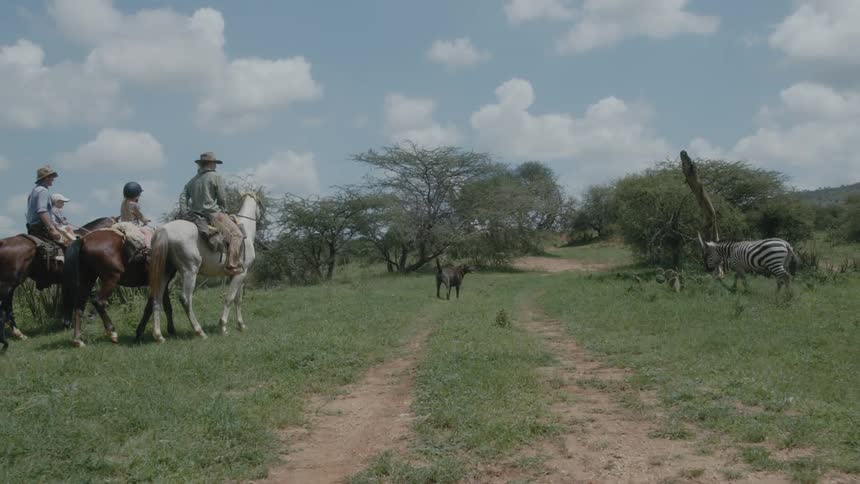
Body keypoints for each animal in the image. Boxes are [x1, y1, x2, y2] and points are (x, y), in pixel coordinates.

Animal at [0, 217, 116, 348]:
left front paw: (68, 323)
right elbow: (89, 296)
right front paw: (90, 316)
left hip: (11, 287)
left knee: (8, 308)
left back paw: (19, 334)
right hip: (7, 285)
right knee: (4, 309)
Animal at [141, 193, 262, 342]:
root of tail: (164, 230)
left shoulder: (237, 275)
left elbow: (238, 300)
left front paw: (241, 325)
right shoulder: (241, 274)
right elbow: (230, 299)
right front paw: (223, 327)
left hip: (165, 272)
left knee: (156, 297)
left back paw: (158, 336)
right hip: (190, 271)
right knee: (186, 299)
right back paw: (199, 331)